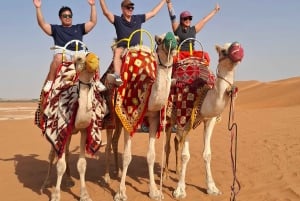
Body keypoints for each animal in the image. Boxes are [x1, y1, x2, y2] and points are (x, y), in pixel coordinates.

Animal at [35, 39, 106, 201]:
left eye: (97, 57)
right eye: (79, 58)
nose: (94, 60)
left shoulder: (83, 130)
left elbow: (82, 164)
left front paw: (84, 194)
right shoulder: (58, 129)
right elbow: (59, 164)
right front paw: (55, 194)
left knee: (66, 152)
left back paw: (68, 180)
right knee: (52, 155)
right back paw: (45, 184)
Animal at [105, 30, 178, 201]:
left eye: (177, 39)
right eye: (160, 40)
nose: (172, 44)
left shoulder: (153, 118)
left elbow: (151, 156)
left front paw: (155, 191)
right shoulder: (128, 117)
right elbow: (127, 156)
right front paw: (120, 193)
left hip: (120, 121)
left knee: (114, 141)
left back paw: (117, 172)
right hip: (113, 115)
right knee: (108, 142)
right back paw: (107, 176)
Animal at [162, 40, 244, 199]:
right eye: (223, 50)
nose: (236, 48)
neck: (204, 95)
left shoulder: (209, 120)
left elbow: (207, 154)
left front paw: (212, 188)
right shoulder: (185, 117)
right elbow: (185, 155)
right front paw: (179, 190)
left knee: (176, 141)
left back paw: (177, 171)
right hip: (170, 117)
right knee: (168, 145)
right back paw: (165, 175)